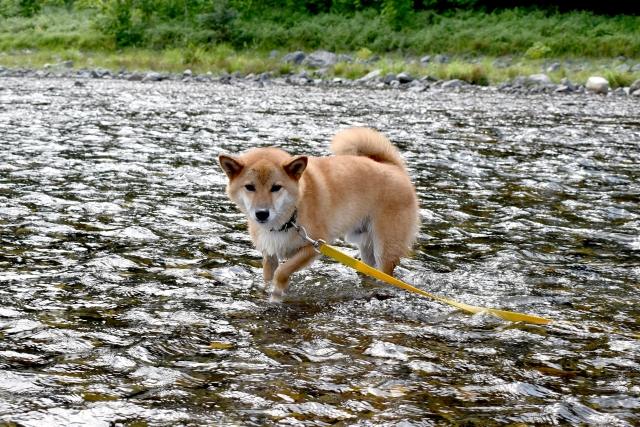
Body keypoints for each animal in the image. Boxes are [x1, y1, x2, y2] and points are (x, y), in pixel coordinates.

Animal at [220, 129, 420, 302]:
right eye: (249, 187)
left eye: (276, 187)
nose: (262, 214)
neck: (291, 216)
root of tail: (393, 167)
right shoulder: (270, 254)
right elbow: (268, 277)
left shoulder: (315, 245)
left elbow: (282, 271)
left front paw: (277, 295)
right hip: (366, 247)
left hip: (385, 249)